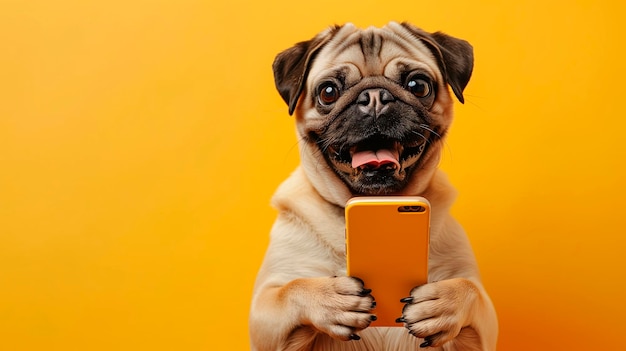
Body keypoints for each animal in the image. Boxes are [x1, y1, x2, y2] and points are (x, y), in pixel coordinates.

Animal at [249, 22, 498, 351]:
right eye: (328, 92)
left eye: (418, 86)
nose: (375, 97)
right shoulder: (265, 308)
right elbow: (291, 289)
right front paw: (330, 298)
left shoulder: (482, 326)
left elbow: (470, 290)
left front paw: (445, 303)